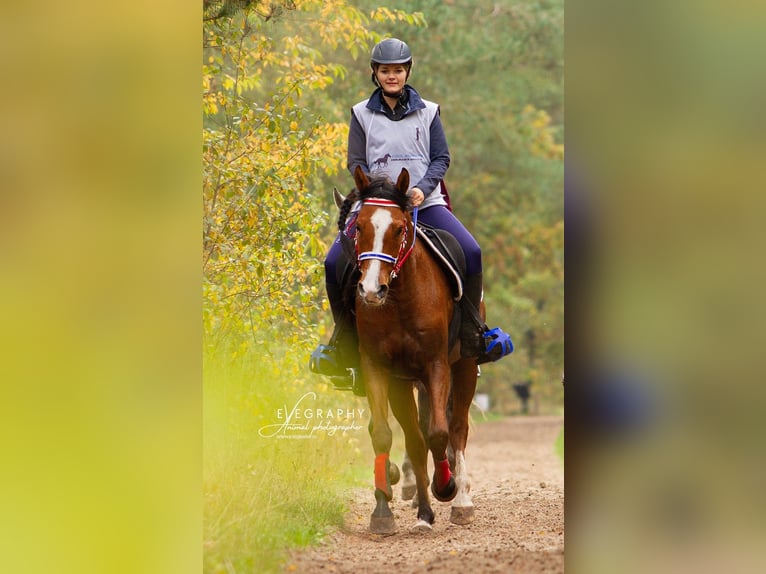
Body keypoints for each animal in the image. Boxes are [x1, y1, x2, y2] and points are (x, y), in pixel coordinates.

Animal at [343, 166, 478, 534]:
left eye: (399, 229)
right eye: (359, 227)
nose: (371, 290)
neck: (401, 300)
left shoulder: (436, 365)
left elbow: (439, 434)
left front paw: (445, 487)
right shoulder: (382, 370)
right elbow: (389, 435)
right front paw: (387, 512)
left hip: (465, 366)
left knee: (458, 428)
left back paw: (461, 500)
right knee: (417, 436)